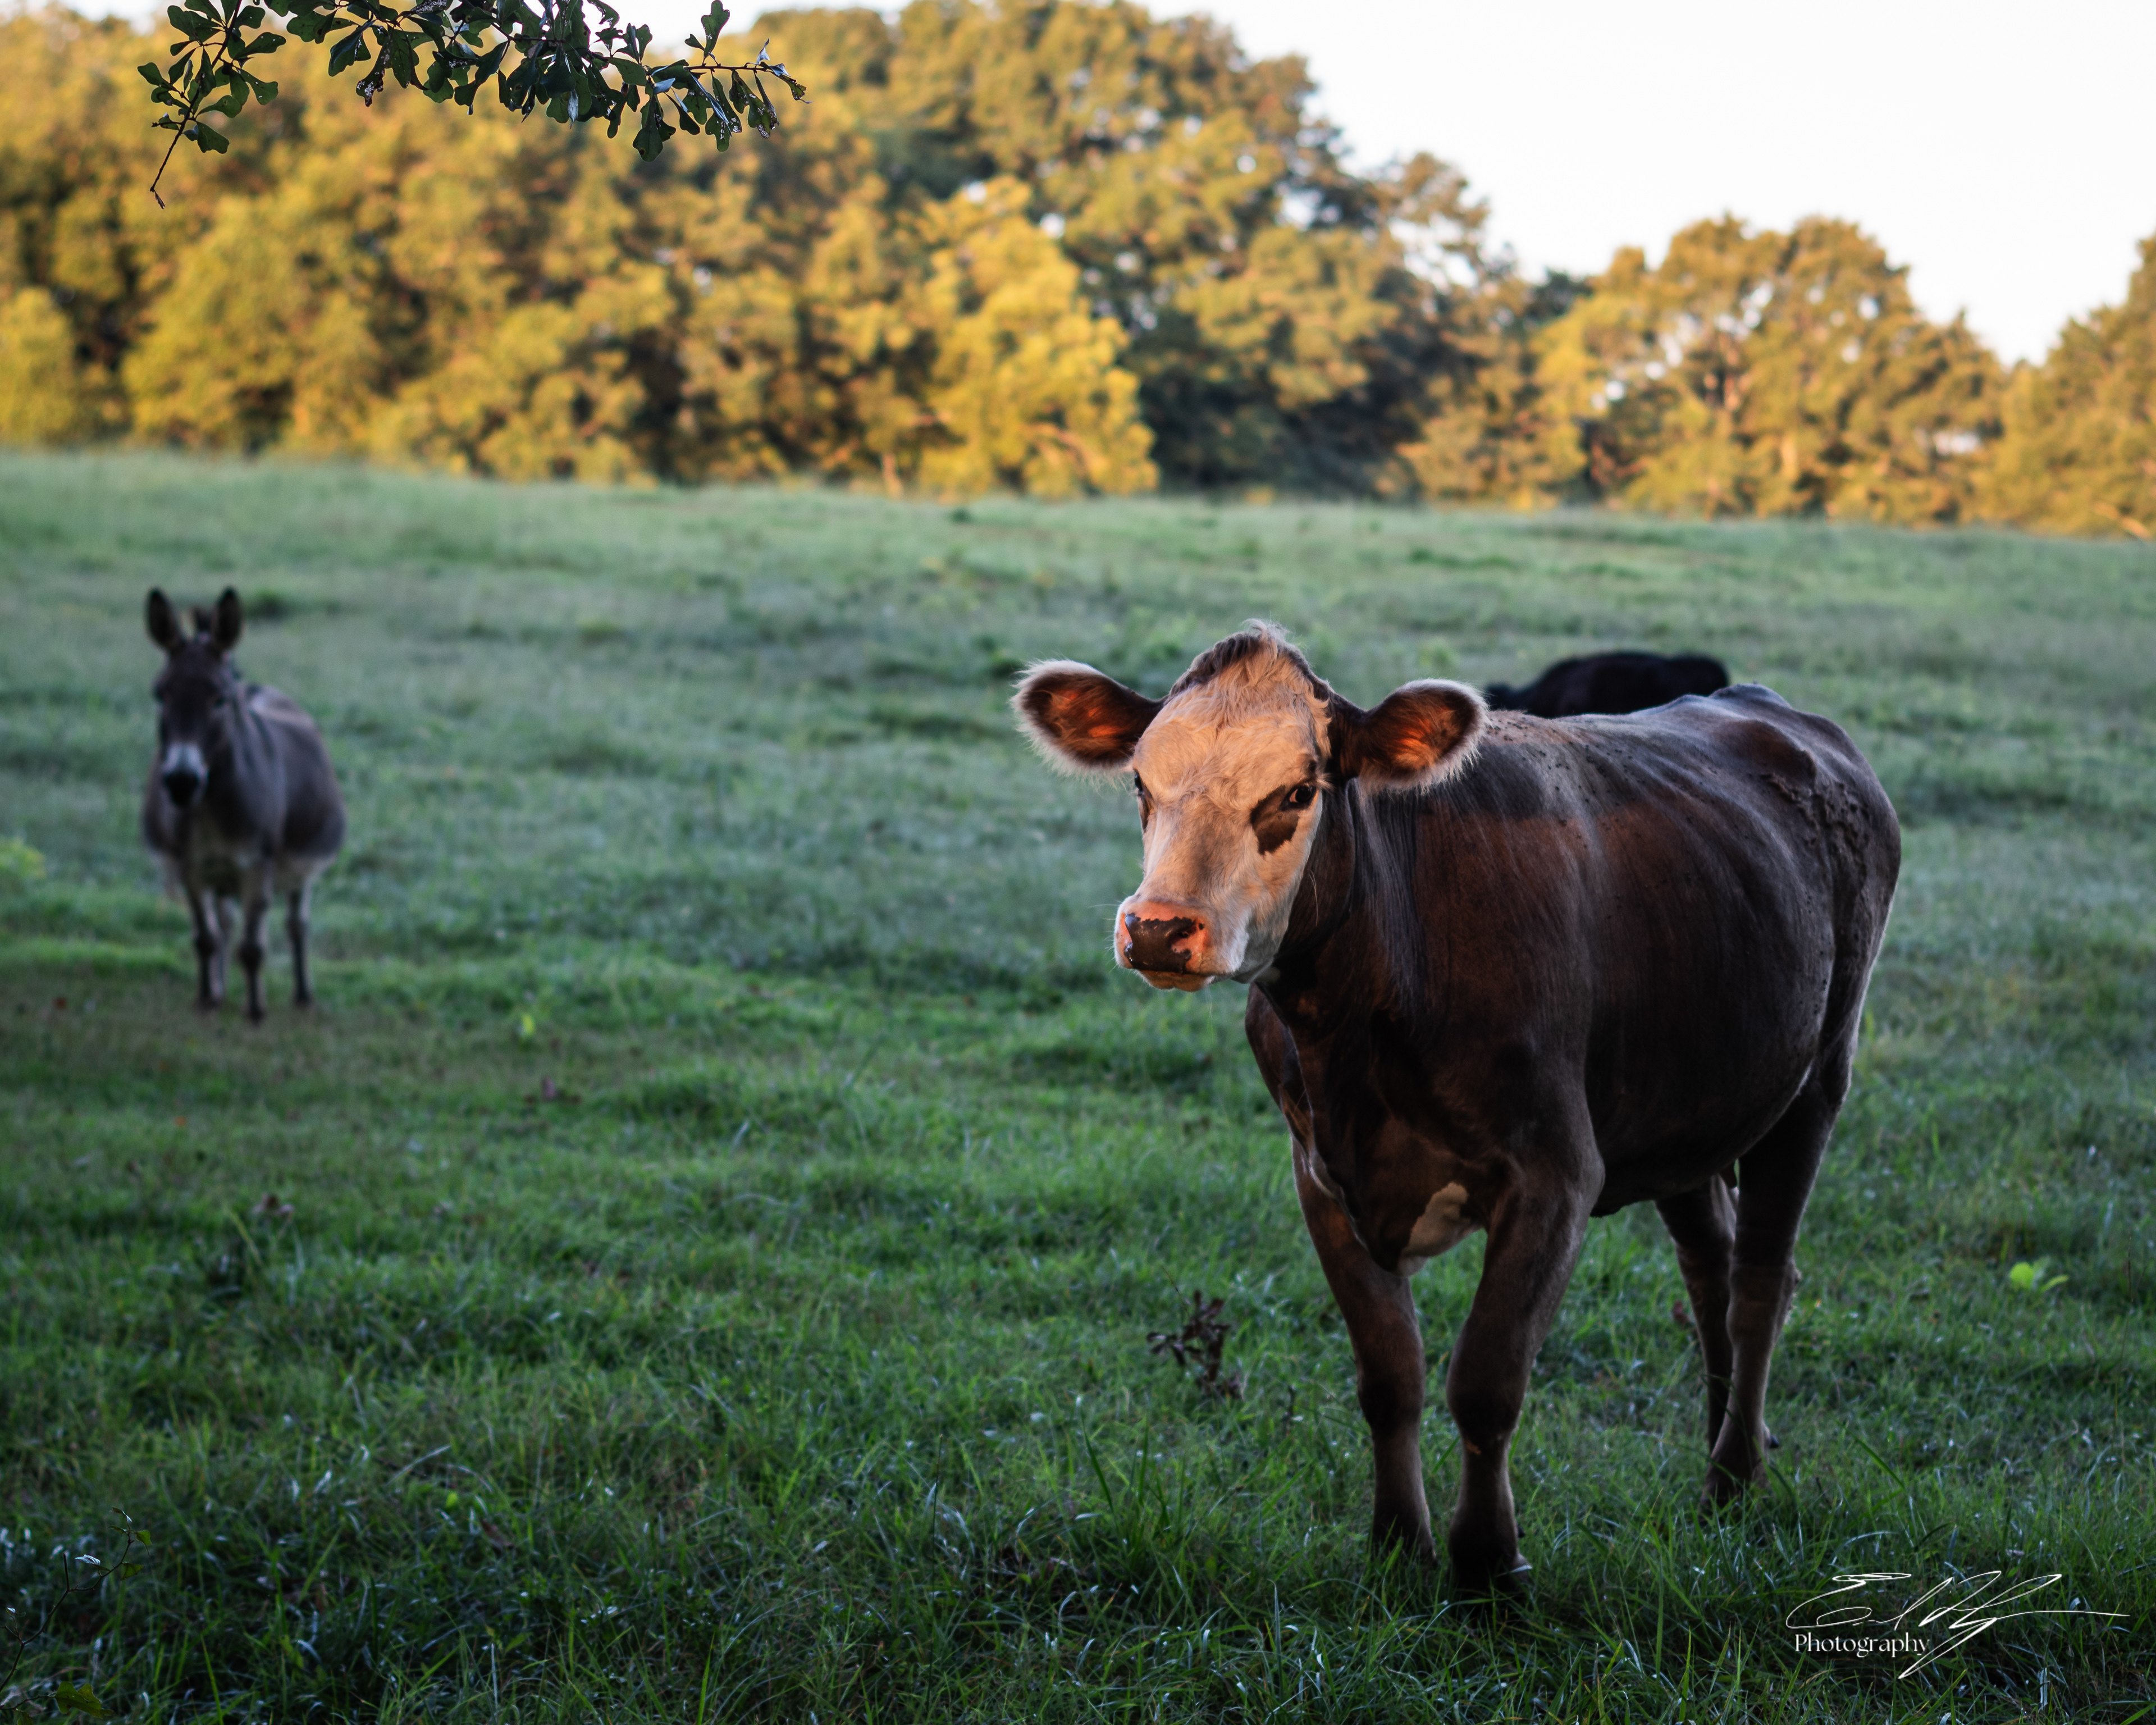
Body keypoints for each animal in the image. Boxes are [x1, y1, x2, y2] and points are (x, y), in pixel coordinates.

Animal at [142, 588, 346, 1022]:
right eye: (160, 693)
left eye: (219, 699)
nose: (182, 782)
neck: (210, 810)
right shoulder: (191, 866)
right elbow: (205, 938)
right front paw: (207, 998)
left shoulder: (258, 864)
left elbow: (253, 948)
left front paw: (255, 1011)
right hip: (221, 875)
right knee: (225, 923)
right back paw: (221, 988)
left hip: (296, 870)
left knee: (296, 924)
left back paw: (303, 995)